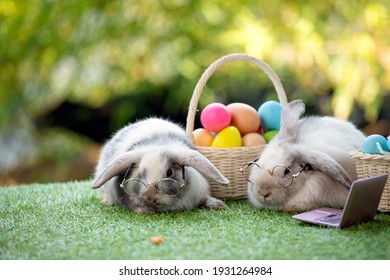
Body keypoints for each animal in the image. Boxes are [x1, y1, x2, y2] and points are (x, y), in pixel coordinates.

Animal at [91, 117, 229, 213]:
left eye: (169, 172)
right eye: (140, 173)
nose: (150, 197)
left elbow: (205, 198)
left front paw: (219, 205)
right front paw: (145, 211)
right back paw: (107, 201)